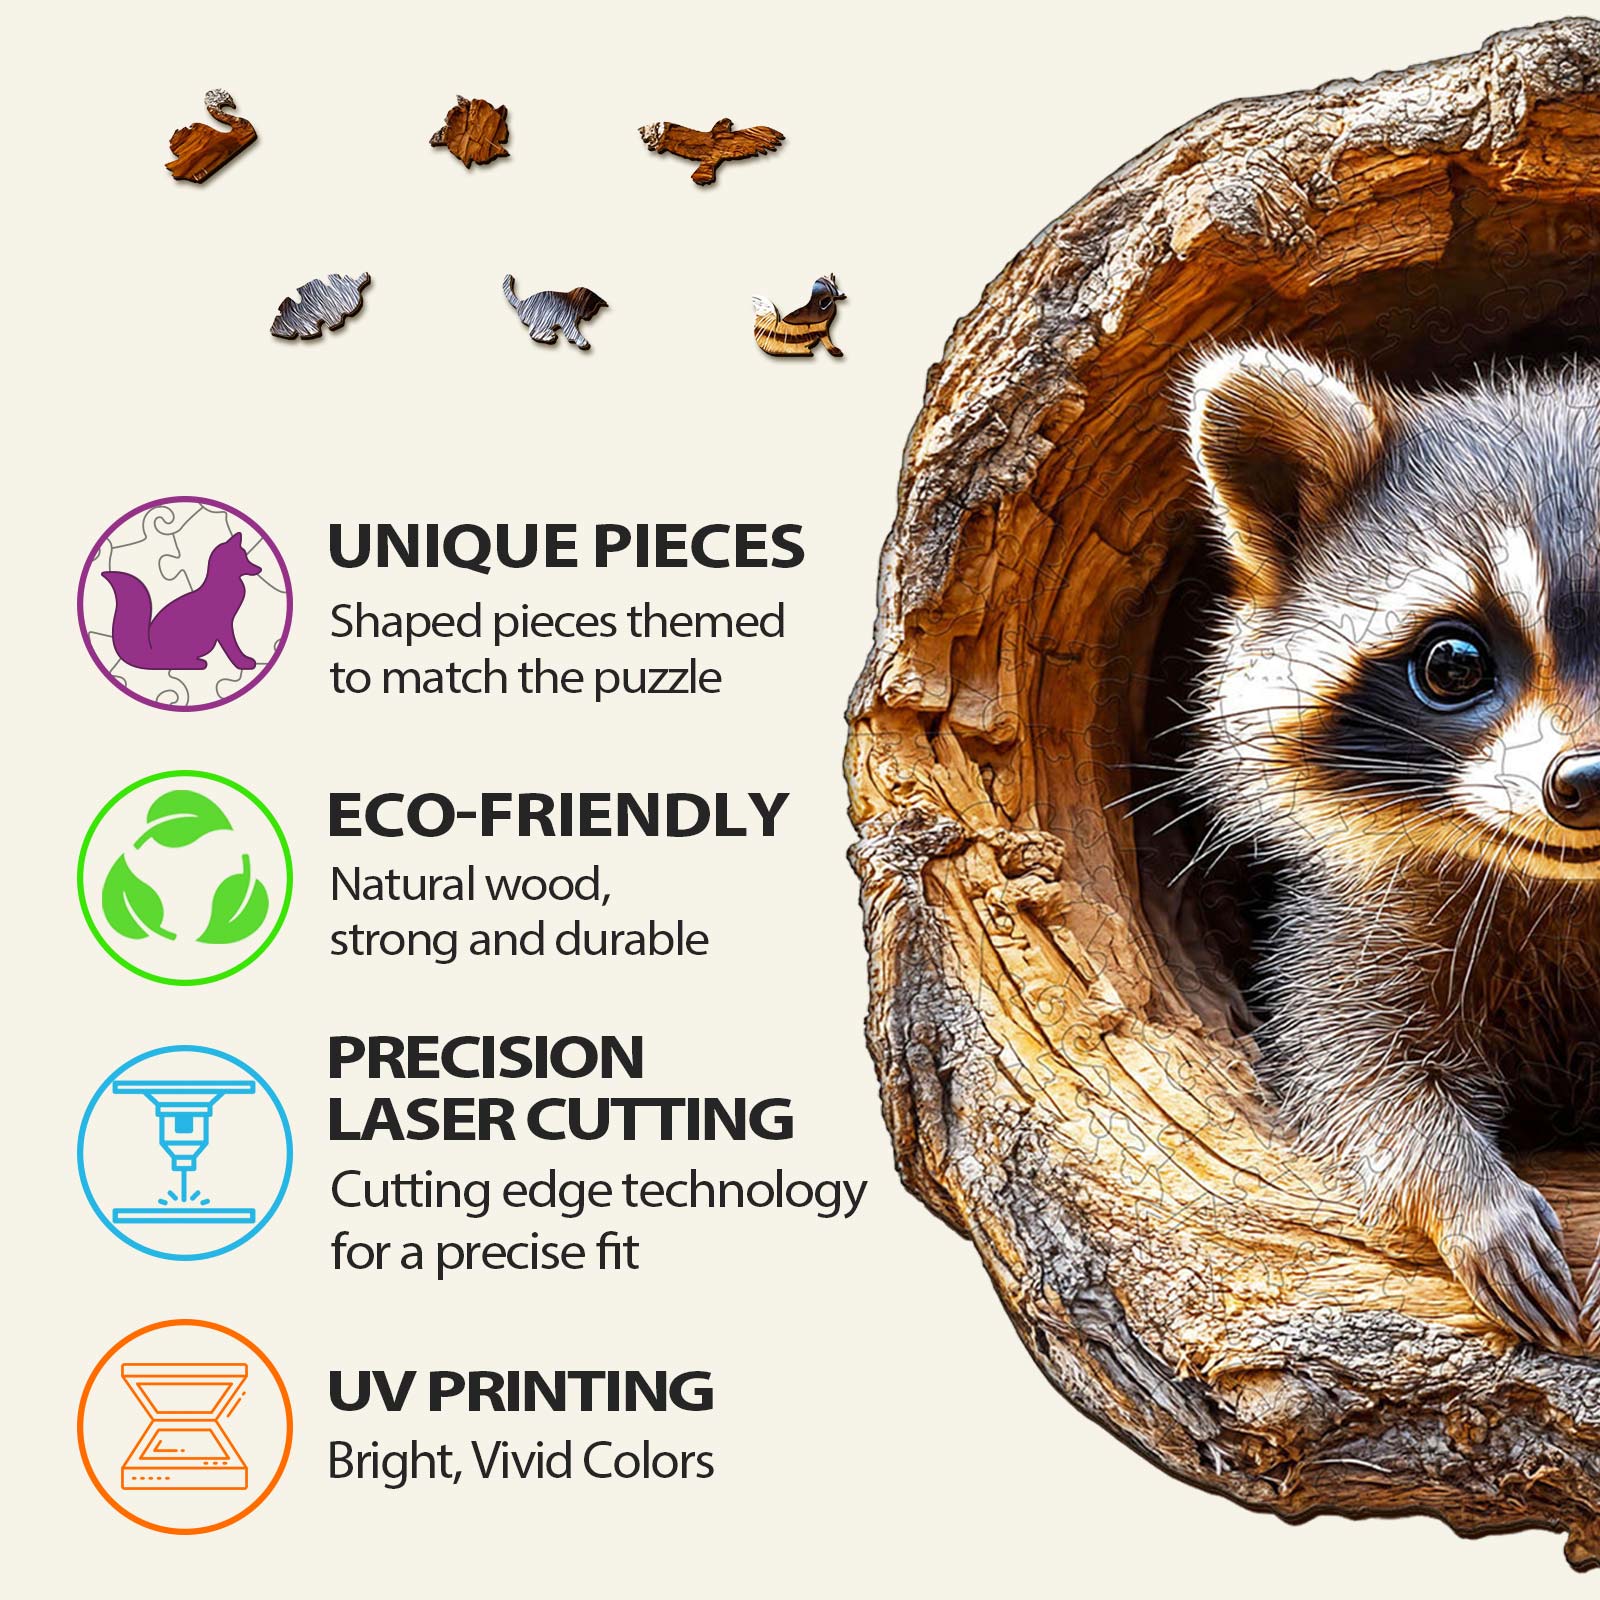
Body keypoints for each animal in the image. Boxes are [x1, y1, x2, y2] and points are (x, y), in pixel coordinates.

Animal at [1180, 343, 1600, 1350]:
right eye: (1454, 662)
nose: (1587, 782)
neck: (1572, 885)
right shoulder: (1358, 919)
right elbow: (1353, 1063)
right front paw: (1463, 1190)